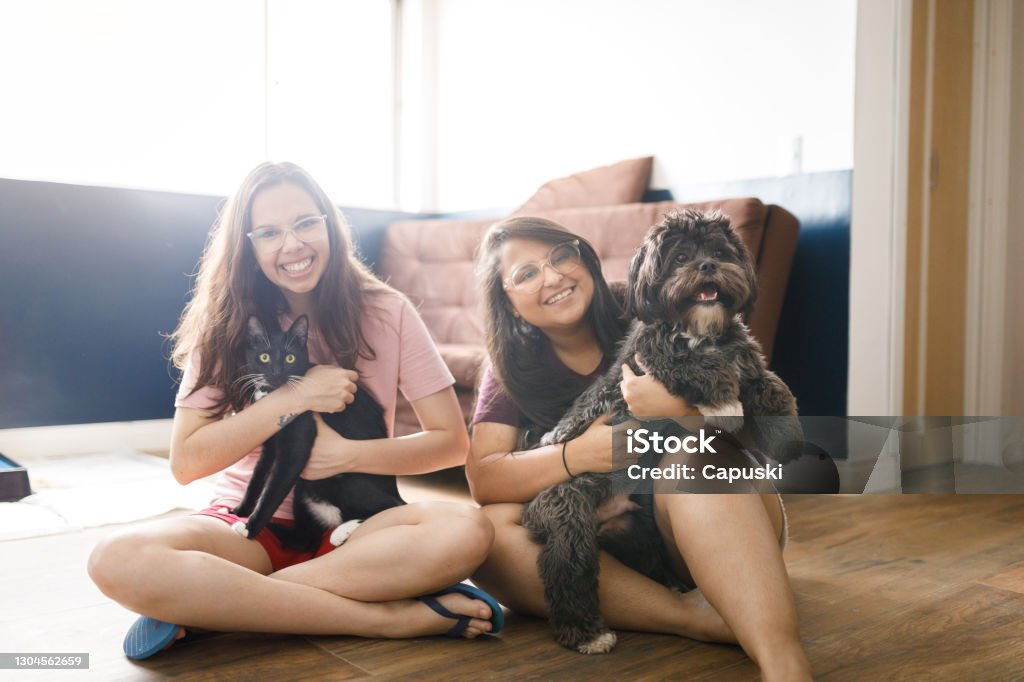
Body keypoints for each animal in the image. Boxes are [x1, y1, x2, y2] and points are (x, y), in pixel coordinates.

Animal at [231, 315, 403, 548]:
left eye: (290, 358)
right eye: (264, 357)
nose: (276, 374)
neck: (275, 395)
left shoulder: (299, 440)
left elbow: (273, 490)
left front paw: (250, 528)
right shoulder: (269, 444)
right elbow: (256, 479)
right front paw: (240, 510)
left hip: (346, 481)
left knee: (393, 506)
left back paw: (341, 531)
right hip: (303, 492)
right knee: (306, 539)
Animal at [524, 208, 802, 655]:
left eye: (720, 253)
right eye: (682, 257)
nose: (706, 266)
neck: (700, 330)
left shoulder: (746, 360)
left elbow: (771, 385)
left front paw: (786, 435)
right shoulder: (653, 355)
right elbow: (695, 365)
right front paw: (724, 403)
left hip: (636, 532)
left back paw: (674, 587)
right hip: (568, 512)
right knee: (564, 567)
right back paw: (587, 633)